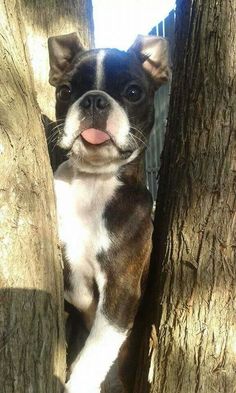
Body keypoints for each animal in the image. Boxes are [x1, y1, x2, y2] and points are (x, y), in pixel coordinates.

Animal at [48, 32, 170, 390]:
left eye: (133, 92)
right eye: (65, 91)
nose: (94, 101)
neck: (93, 182)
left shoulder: (121, 289)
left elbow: (96, 352)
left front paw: (78, 384)